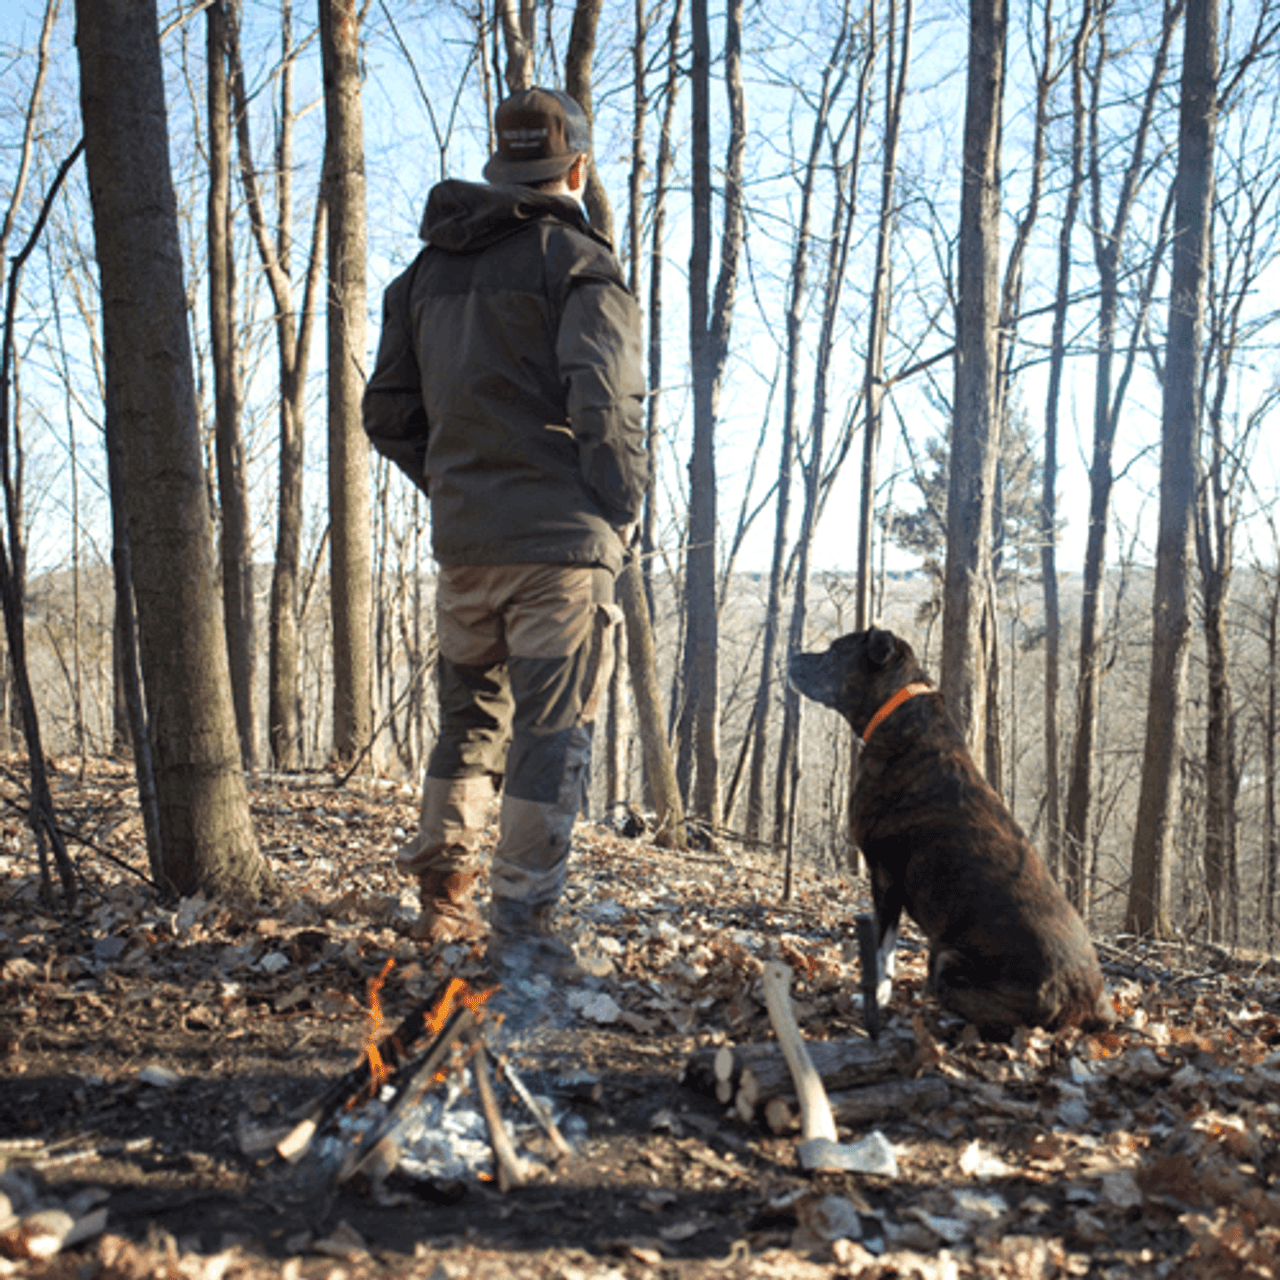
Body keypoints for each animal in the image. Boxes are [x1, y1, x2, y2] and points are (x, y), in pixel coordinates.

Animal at [788, 624, 1111, 1034]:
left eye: (833, 652)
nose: (790, 656)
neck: (896, 709)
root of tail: (1085, 1004)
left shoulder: (885, 876)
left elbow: (881, 947)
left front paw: (873, 996)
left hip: (945, 959)